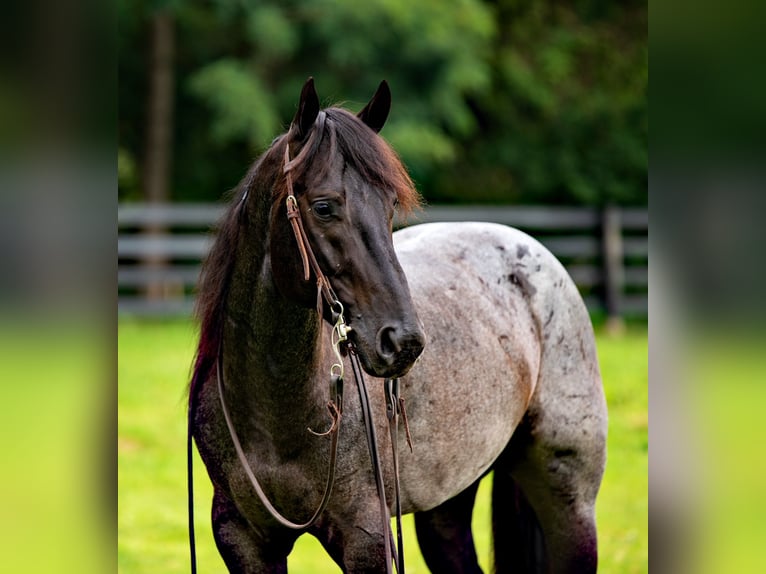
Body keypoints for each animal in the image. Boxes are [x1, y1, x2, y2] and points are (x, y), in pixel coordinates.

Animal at [189, 77, 608, 574]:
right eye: (324, 207)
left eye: (390, 205)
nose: (402, 341)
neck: (277, 418)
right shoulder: (243, 539)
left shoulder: (366, 536)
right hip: (447, 505)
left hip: (568, 499)